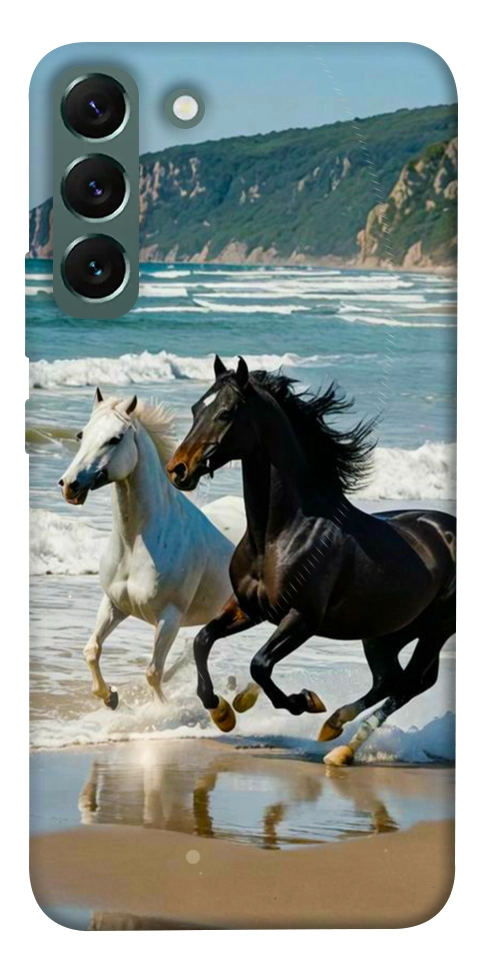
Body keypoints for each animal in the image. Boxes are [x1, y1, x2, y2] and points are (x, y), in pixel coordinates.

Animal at [59, 388, 234, 709]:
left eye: (115, 438)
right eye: (81, 434)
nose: (69, 485)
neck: (135, 544)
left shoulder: (169, 618)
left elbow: (153, 672)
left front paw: (161, 711)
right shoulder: (114, 604)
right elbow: (91, 650)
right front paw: (110, 697)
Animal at [166, 356, 456, 765]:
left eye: (225, 413)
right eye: (195, 409)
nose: (178, 469)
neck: (280, 534)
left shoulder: (302, 618)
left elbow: (260, 664)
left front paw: (303, 701)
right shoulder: (248, 608)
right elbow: (202, 641)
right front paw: (222, 712)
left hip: (436, 629)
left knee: (411, 683)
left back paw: (341, 746)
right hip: (386, 632)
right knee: (390, 679)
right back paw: (334, 728)